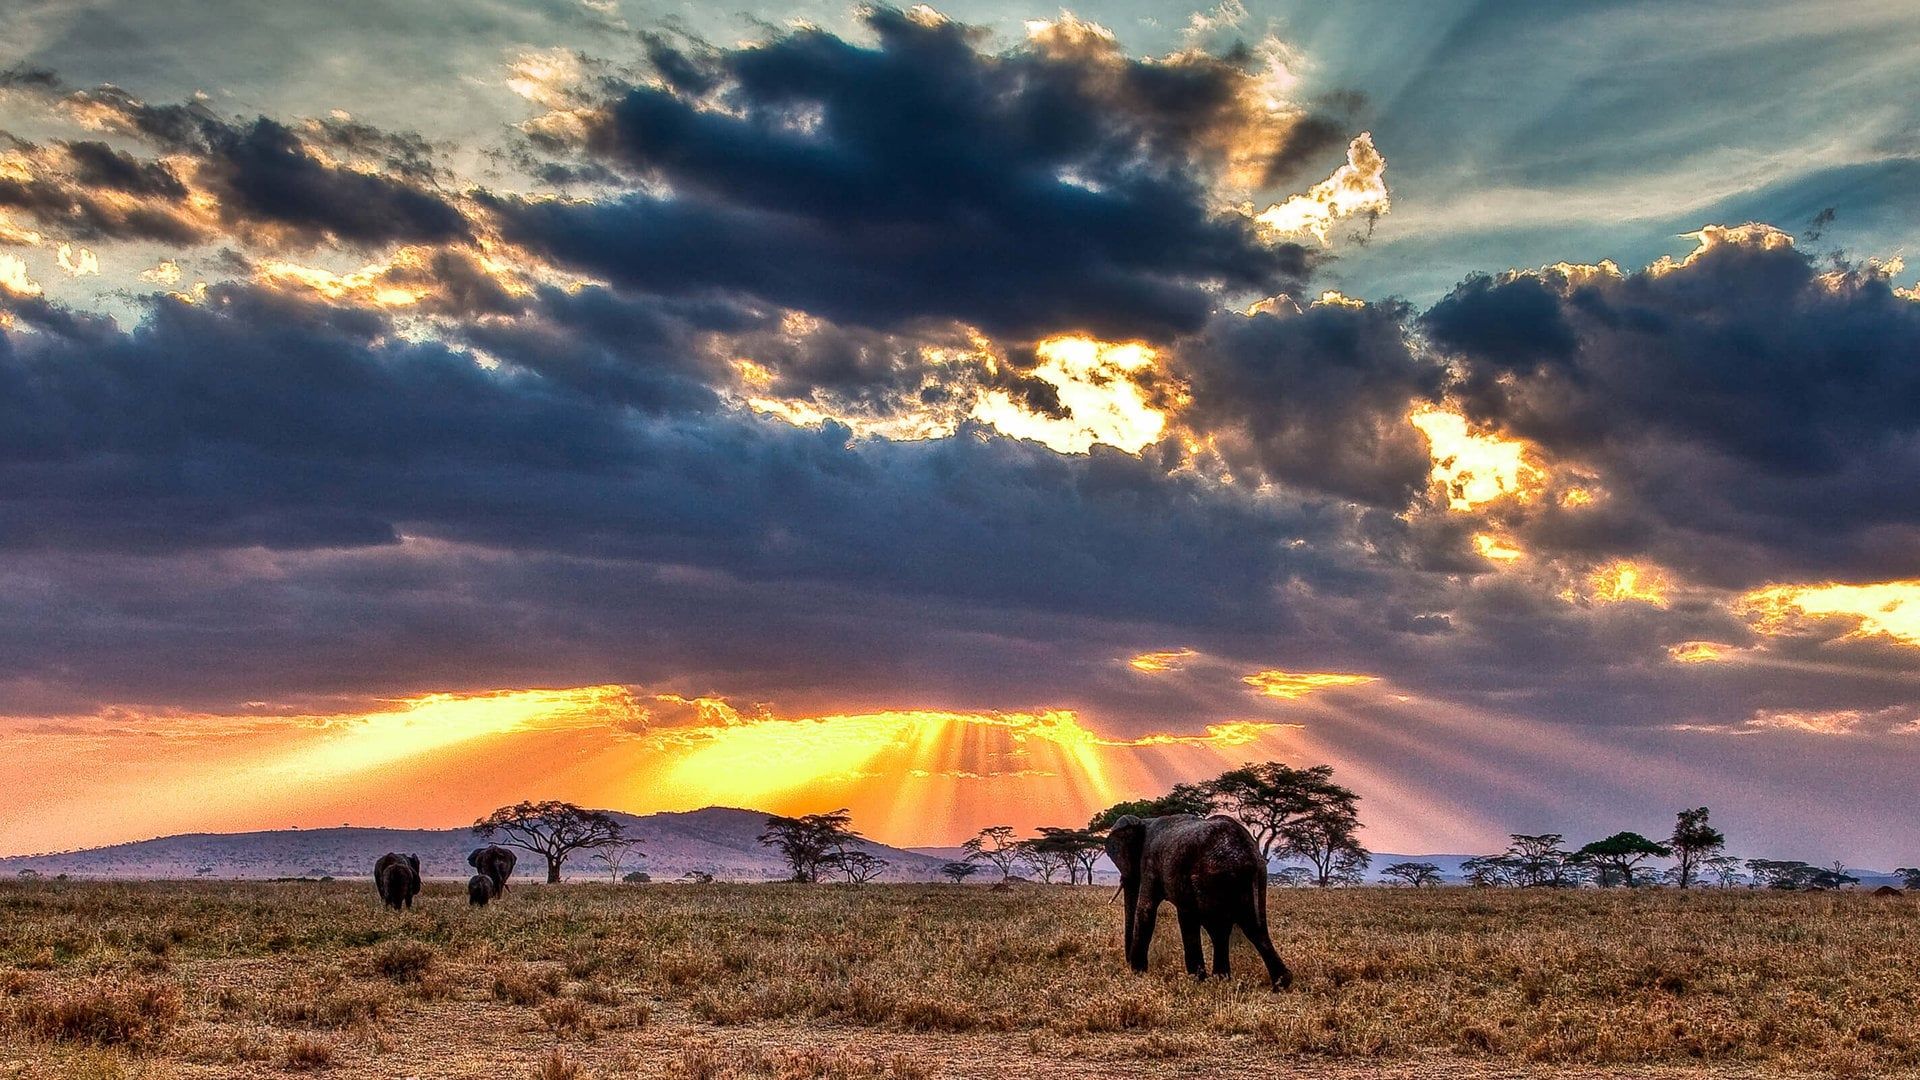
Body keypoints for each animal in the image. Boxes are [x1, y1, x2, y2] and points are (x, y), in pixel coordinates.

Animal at [1105, 810, 1297, 991]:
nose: (1128, 963)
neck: (1144, 821)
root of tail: (1246, 854)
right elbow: (1185, 916)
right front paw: (1197, 978)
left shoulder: (1150, 863)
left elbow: (1146, 910)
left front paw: (1138, 973)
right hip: (1257, 875)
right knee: (1255, 926)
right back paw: (1278, 982)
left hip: (1213, 875)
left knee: (1218, 928)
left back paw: (1219, 979)